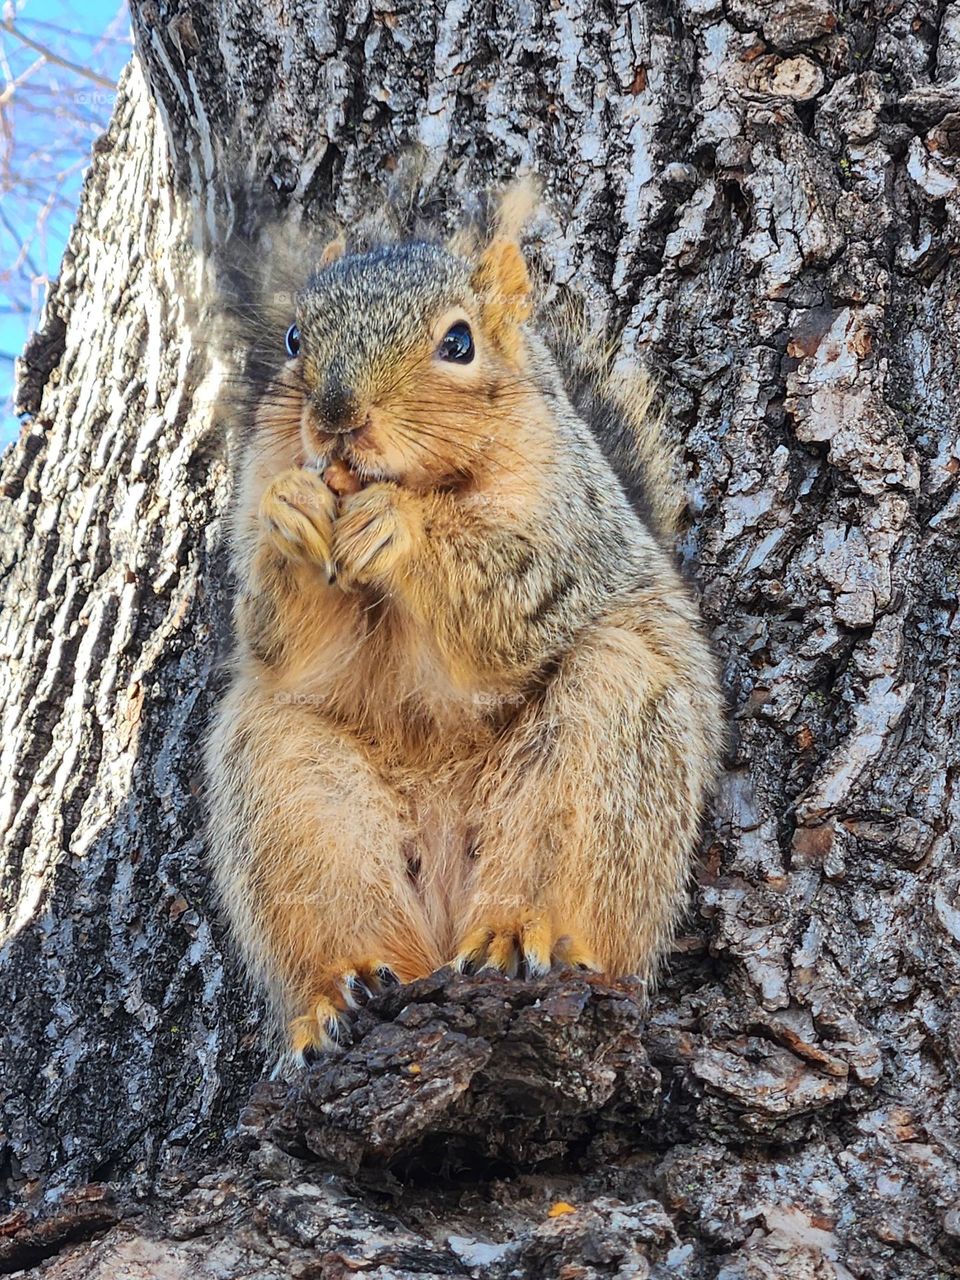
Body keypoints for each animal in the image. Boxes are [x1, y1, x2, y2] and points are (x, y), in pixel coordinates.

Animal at [205, 181, 725, 1065]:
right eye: (294, 338)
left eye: (459, 342)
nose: (336, 416)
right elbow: (282, 640)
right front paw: (293, 512)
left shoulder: (564, 538)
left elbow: (505, 611)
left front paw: (401, 529)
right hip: (289, 787)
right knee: (343, 909)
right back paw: (343, 990)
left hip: (609, 738)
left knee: (565, 870)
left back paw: (521, 937)